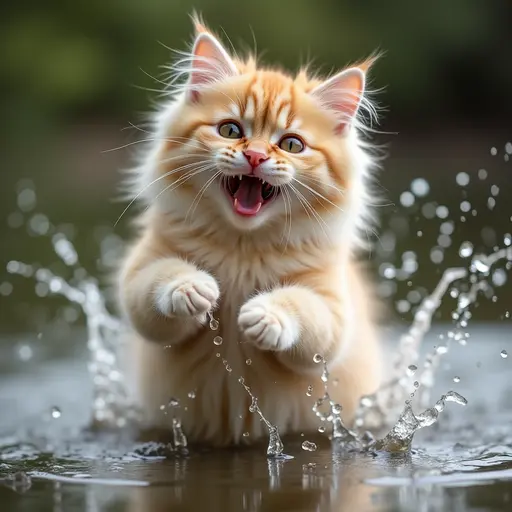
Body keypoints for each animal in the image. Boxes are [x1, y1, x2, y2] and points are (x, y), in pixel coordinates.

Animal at [118, 16, 382, 446]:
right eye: (230, 130)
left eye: (291, 144)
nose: (256, 156)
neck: (242, 246)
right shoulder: (141, 274)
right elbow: (160, 284)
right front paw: (192, 289)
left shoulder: (333, 309)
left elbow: (303, 311)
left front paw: (264, 316)